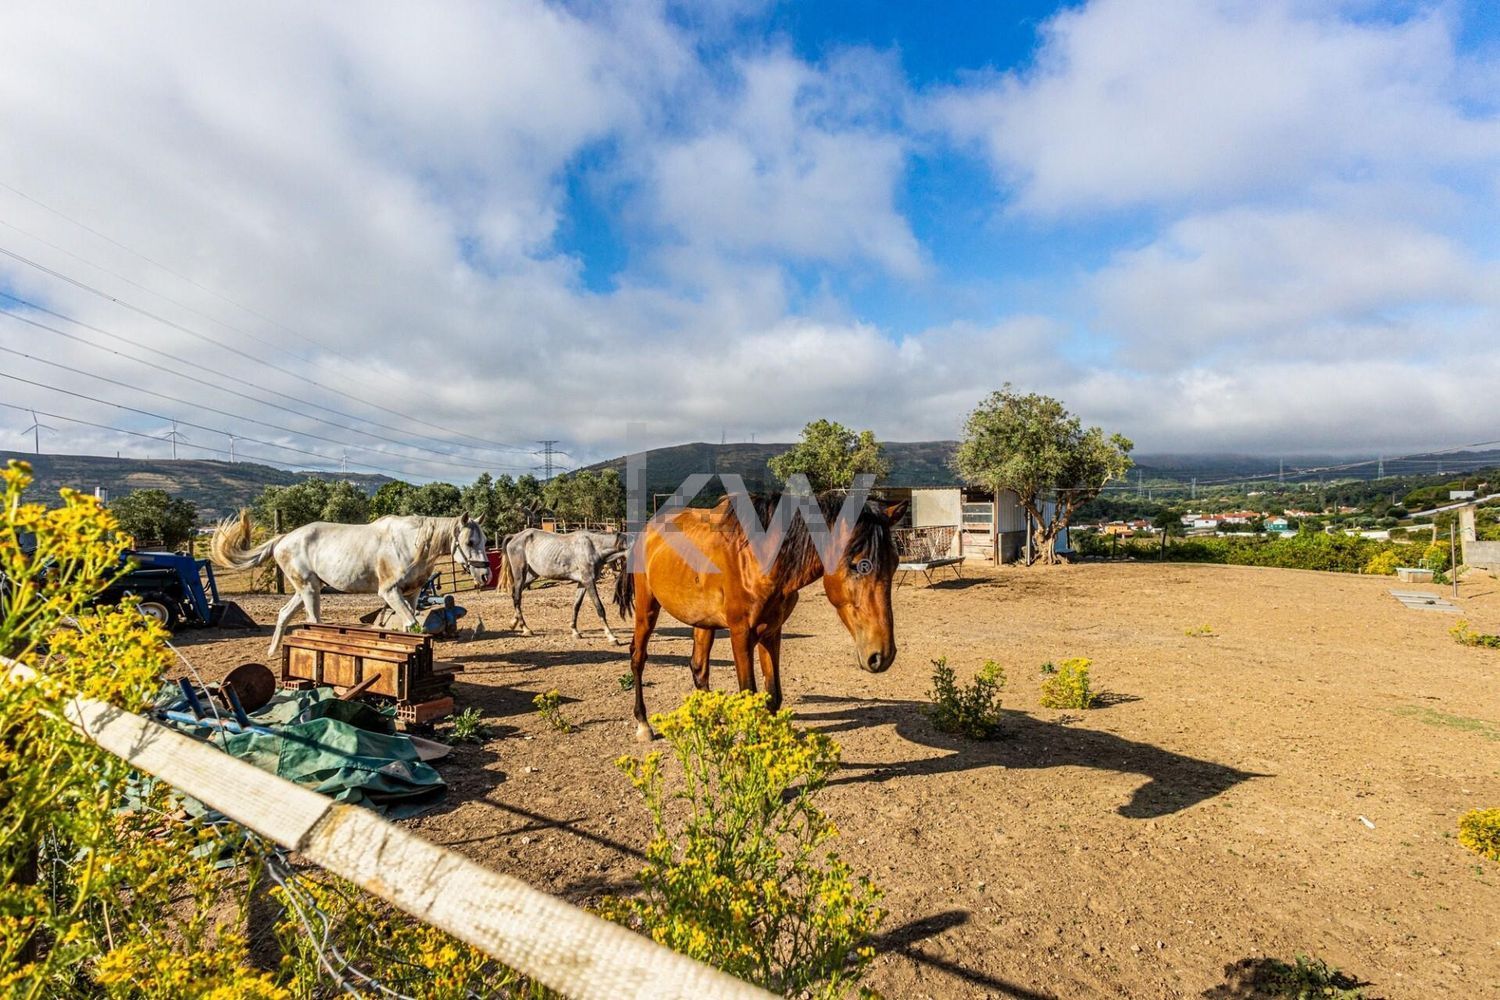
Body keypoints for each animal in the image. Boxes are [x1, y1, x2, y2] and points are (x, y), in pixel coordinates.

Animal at [210, 509, 492, 656]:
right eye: (469, 542)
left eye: (485, 540)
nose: (486, 576)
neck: (411, 544)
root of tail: (283, 539)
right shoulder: (389, 592)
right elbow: (412, 624)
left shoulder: (411, 594)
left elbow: (410, 627)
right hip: (309, 589)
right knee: (313, 621)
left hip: (307, 588)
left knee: (284, 613)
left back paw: (272, 652)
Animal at [498, 527, 627, 644]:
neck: (593, 548)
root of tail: (514, 537)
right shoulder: (589, 581)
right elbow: (599, 608)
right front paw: (611, 637)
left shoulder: (582, 583)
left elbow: (576, 605)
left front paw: (575, 631)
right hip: (520, 574)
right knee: (517, 597)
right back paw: (525, 628)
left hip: (532, 575)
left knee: (515, 593)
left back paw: (513, 623)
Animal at [609, 494, 900, 743]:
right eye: (858, 564)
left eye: (895, 562)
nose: (882, 655)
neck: (759, 559)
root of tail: (645, 532)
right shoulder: (741, 634)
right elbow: (749, 693)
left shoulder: (771, 632)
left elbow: (772, 697)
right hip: (647, 609)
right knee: (638, 657)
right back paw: (644, 724)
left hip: (703, 621)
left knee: (698, 667)